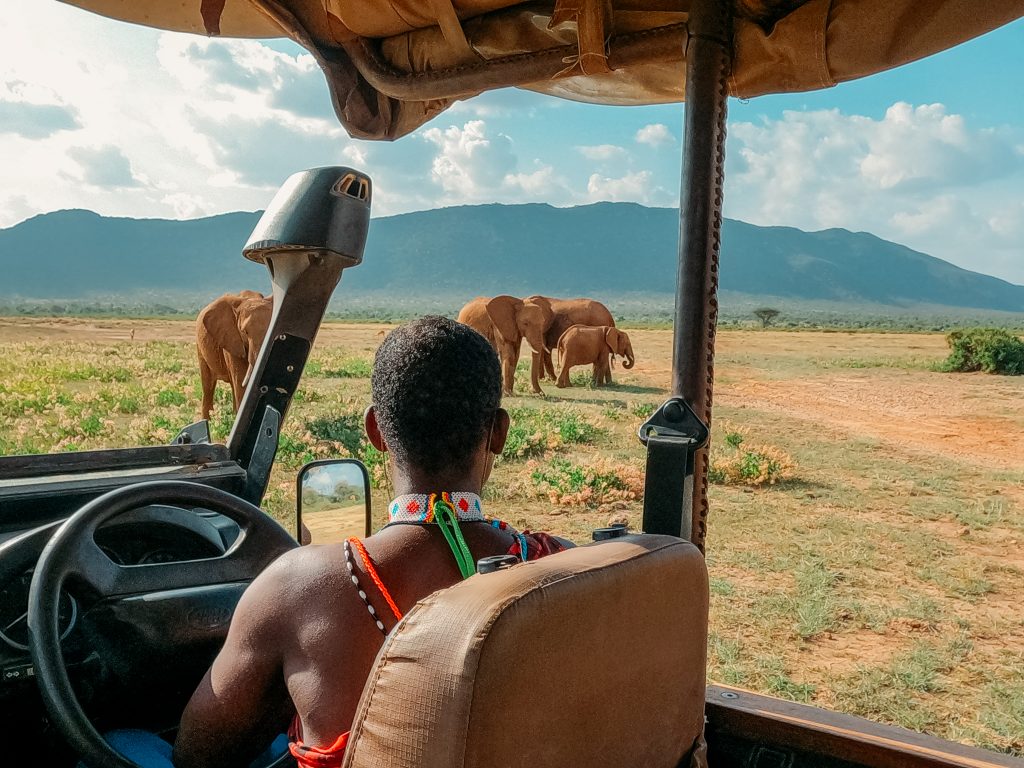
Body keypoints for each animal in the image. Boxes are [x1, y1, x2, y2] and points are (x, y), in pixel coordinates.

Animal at [196, 290, 274, 421]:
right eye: (245, 332)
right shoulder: (231, 338)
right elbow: (240, 382)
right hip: (200, 347)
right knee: (208, 385)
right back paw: (208, 420)